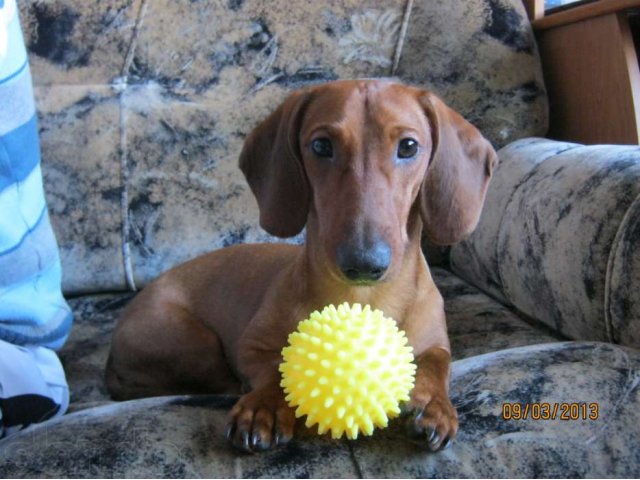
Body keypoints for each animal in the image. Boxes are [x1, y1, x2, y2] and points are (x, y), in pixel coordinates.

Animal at [105, 78, 498, 450]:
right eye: (321, 146)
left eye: (409, 147)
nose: (363, 262)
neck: (363, 298)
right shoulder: (251, 346)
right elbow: (275, 366)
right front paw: (263, 405)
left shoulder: (437, 344)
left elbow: (437, 363)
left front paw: (433, 404)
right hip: (191, 342)